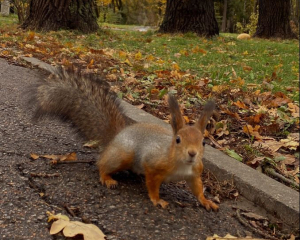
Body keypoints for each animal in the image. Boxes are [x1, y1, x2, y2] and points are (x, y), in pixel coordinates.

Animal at [32, 66, 218, 211]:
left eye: (203, 142)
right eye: (178, 140)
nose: (192, 153)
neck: (180, 164)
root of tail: (116, 136)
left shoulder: (195, 172)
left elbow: (197, 188)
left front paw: (206, 201)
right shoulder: (153, 164)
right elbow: (152, 185)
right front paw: (157, 199)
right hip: (122, 155)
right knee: (102, 165)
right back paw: (107, 178)